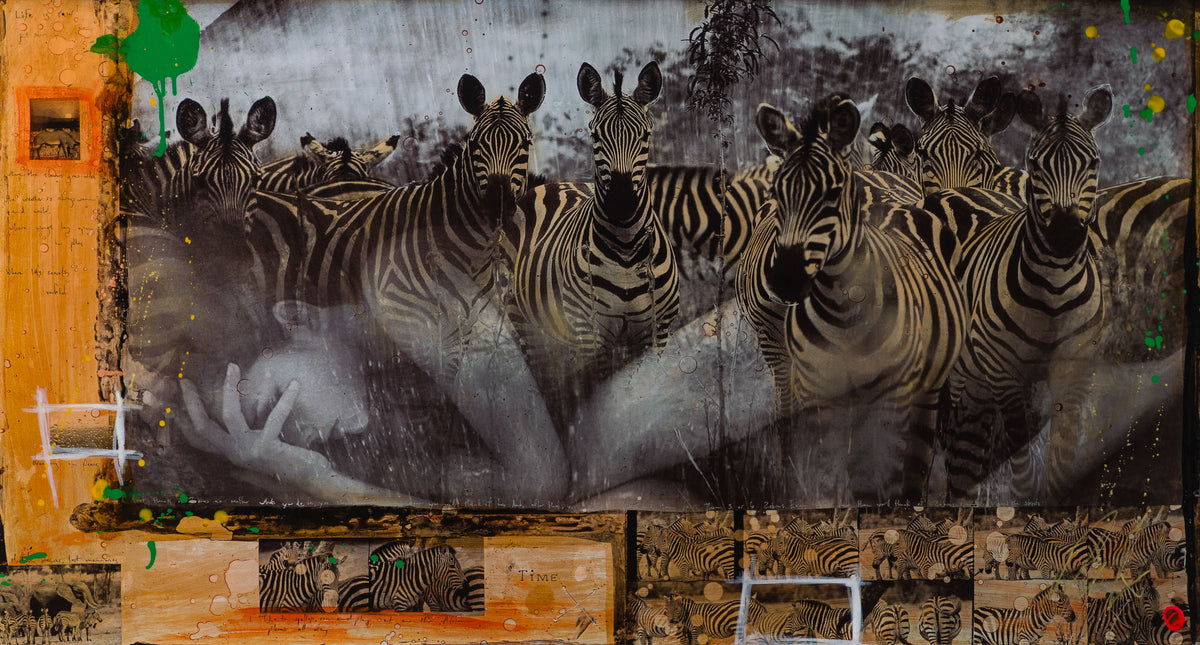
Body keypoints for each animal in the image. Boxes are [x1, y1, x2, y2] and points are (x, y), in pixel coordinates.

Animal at [505, 61, 679, 389]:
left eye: (645, 135)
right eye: (596, 136)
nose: (621, 203)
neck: (626, 249)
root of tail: (547, 185)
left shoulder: (658, 331)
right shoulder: (590, 335)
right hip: (524, 322)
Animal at [942, 85, 1112, 502]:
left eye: (1093, 163)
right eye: (1035, 164)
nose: (1065, 235)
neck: (1054, 287)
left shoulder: (1074, 370)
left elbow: (1061, 460)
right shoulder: (1005, 374)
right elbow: (1020, 469)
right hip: (963, 373)